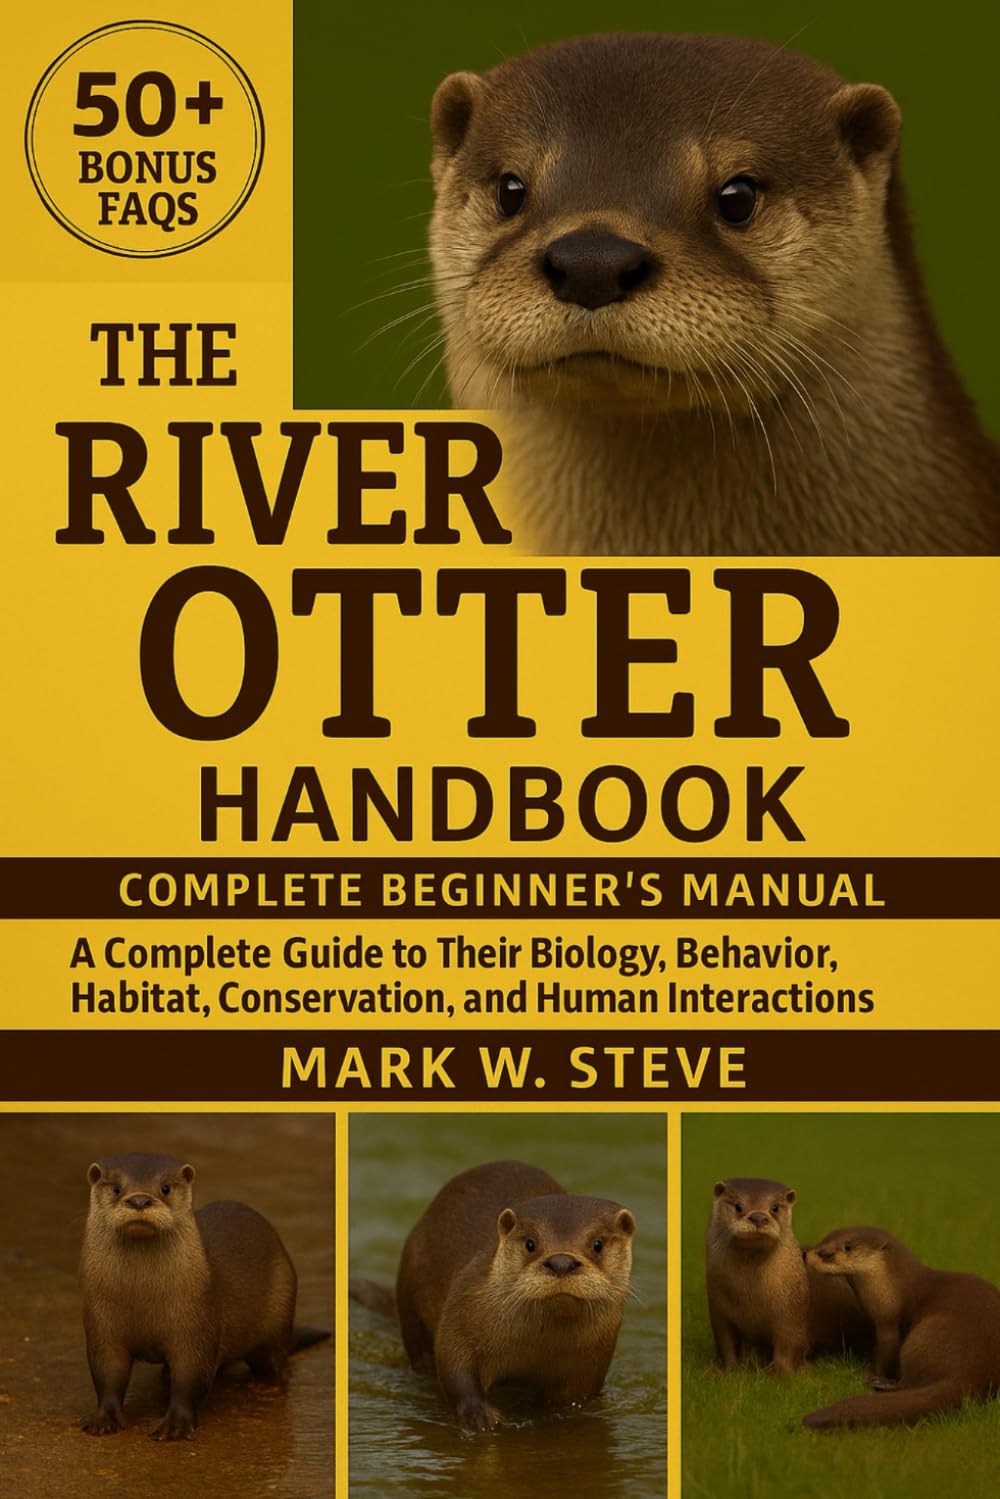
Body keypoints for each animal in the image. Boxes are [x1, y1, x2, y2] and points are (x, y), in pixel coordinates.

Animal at [80, 1152, 329, 1441]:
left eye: (165, 1187)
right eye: (117, 1188)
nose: (139, 1200)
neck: (141, 1297)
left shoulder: (195, 1323)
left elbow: (190, 1378)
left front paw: (176, 1424)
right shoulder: (102, 1326)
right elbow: (108, 1374)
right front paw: (104, 1418)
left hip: (279, 1309)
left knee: (275, 1360)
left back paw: (265, 1387)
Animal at [358, 1159, 635, 1430]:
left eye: (597, 1244)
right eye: (530, 1243)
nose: (561, 1262)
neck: (535, 1347)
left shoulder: (593, 1360)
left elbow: (577, 1396)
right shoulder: (463, 1310)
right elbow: (454, 1365)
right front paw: (479, 1415)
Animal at [706, 1178, 869, 1373]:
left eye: (775, 1207)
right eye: (738, 1206)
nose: (758, 1217)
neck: (750, 1299)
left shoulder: (791, 1314)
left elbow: (788, 1347)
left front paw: (783, 1374)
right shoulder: (719, 1312)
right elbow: (726, 1345)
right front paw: (729, 1371)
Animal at [802, 1226, 1000, 1427]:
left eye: (847, 1245)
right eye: (825, 1238)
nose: (808, 1253)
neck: (895, 1290)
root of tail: (971, 1373)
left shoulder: (888, 1325)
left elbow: (885, 1354)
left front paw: (876, 1373)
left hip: (920, 1338)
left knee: (908, 1383)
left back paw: (877, 1382)